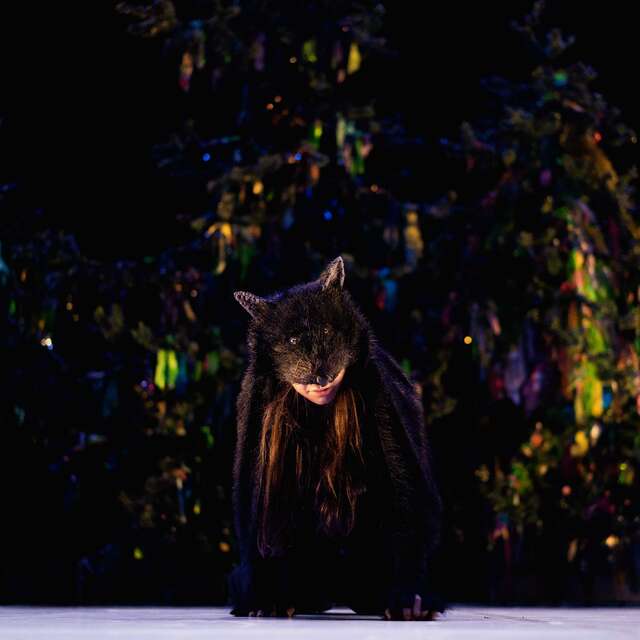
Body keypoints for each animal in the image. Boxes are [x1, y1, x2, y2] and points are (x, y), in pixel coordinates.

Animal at [228, 256, 445, 620]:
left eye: (327, 331)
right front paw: (265, 600)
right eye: (292, 341)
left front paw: (406, 599)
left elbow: (406, 503)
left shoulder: (383, 404)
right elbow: (255, 523)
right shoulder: (256, 425)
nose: (320, 374)